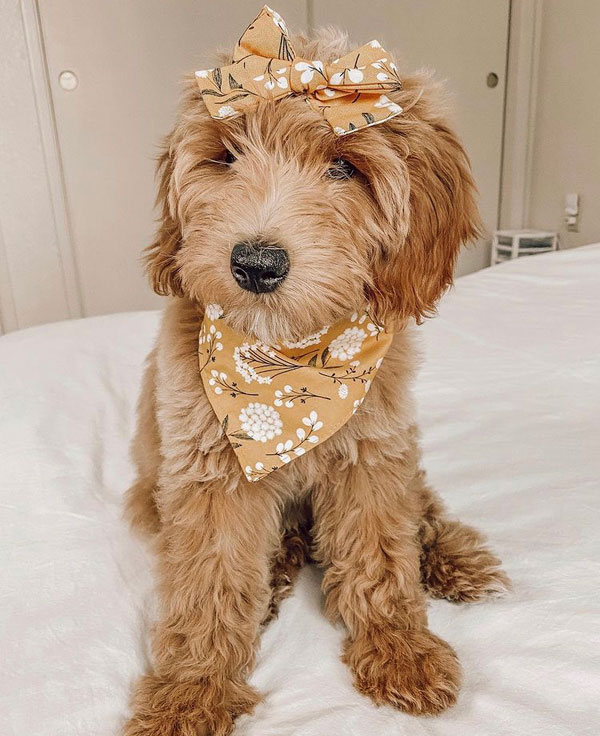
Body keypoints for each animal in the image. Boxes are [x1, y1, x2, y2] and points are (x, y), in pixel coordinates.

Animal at [124, 11, 508, 736]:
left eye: (343, 166)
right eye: (226, 156)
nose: (255, 264)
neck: (287, 369)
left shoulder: (371, 457)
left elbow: (381, 553)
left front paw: (399, 646)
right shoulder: (208, 476)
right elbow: (207, 586)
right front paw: (191, 691)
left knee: (421, 504)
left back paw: (451, 558)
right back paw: (275, 574)